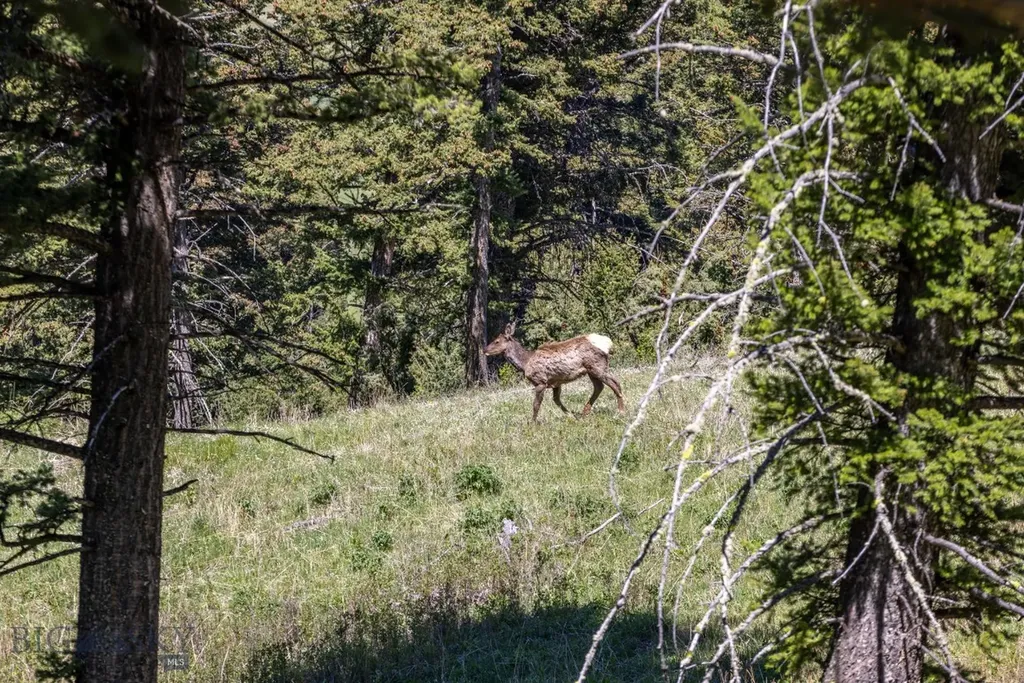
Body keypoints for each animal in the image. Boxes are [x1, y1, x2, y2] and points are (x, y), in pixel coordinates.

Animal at [484, 322, 625, 421]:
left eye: (497, 341)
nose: (484, 350)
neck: (525, 363)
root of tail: (608, 343)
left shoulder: (540, 381)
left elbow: (536, 405)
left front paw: (532, 423)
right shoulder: (556, 382)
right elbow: (556, 400)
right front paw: (571, 416)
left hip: (597, 366)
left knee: (615, 383)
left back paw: (620, 411)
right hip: (591, 370)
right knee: (599, 387)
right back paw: (584, 412)